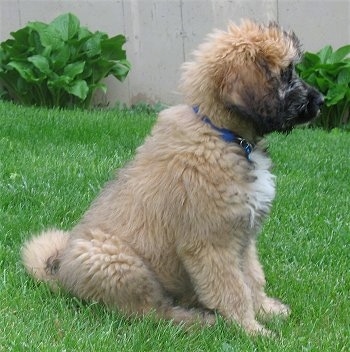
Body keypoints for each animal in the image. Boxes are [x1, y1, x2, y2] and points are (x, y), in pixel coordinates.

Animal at [21, 20, 322, 334]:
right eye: (286, 73)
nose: (322, 101)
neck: (221, 134)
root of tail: (62, 275)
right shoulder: (211, 242)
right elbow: (233, 290)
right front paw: (251, 331)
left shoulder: (244, 237)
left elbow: (252, 277)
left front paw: (266, 310)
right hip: (116, 260)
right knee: (151, 313)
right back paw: (198, 320)